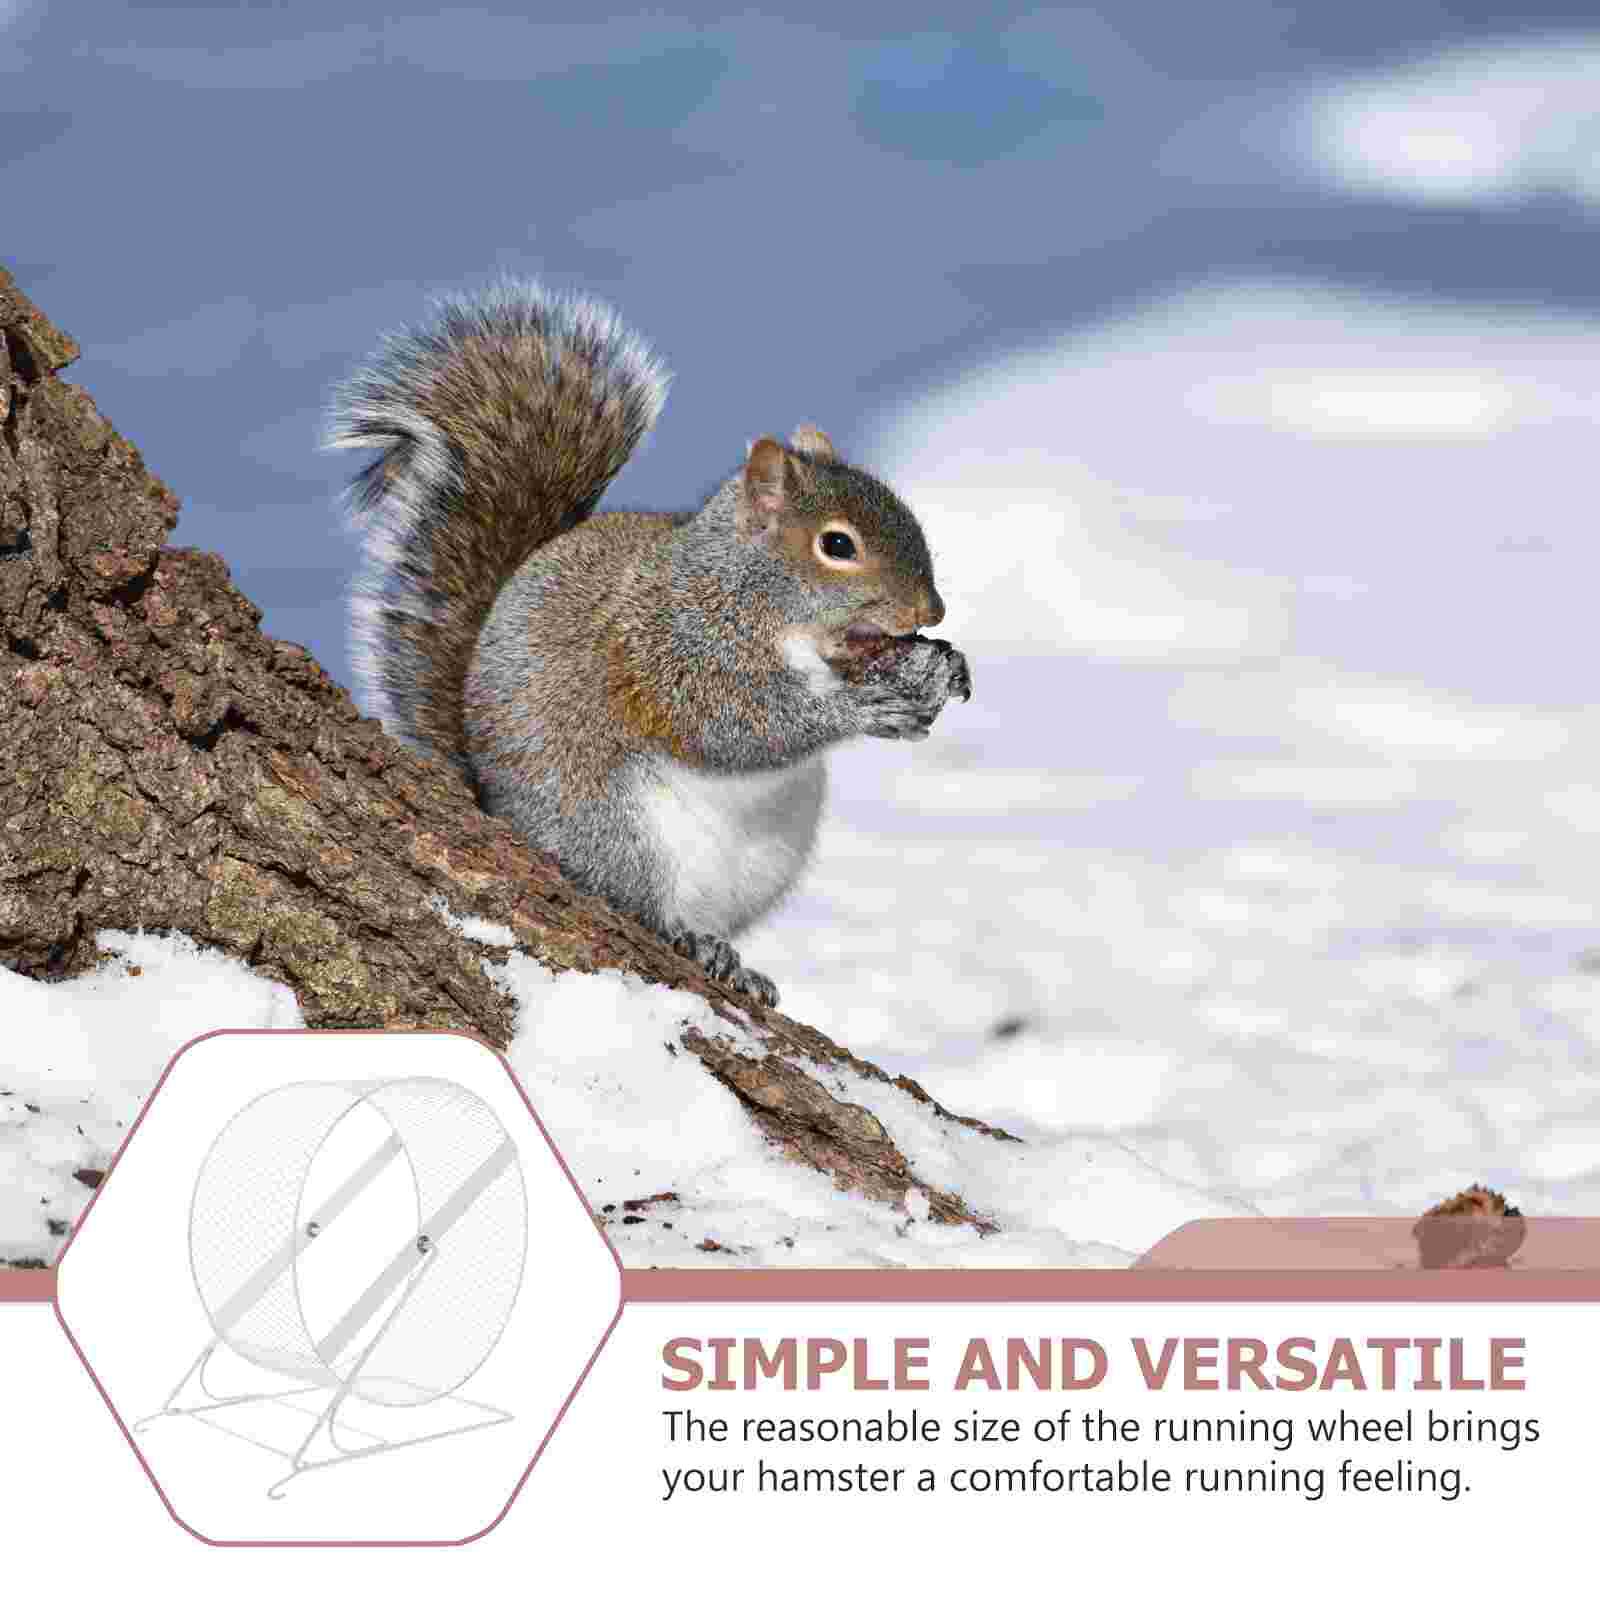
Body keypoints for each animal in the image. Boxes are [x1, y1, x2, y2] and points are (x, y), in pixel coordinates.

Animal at [328, 280, 970, 1009]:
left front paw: (947, 665)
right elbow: (736, 726)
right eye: (837, 544)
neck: (746, 594)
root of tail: (494, 808)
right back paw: (687, 937)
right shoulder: (669, 651)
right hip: (613, 831)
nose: (931, 610)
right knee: (635, 902)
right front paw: (862, 709)